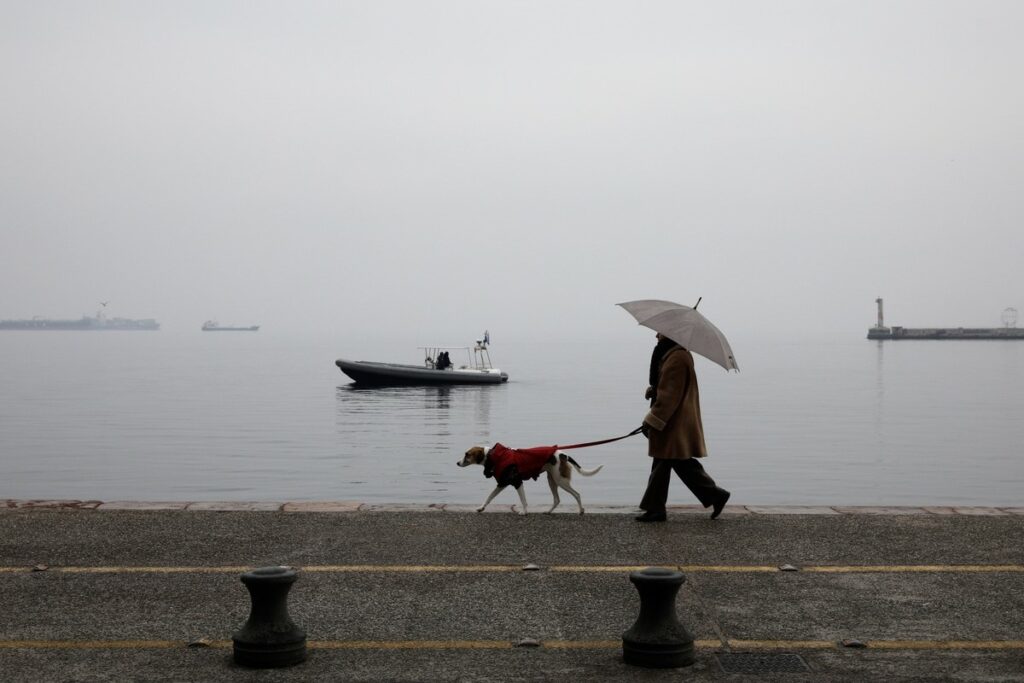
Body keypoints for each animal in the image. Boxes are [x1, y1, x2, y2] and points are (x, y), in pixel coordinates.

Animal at [454, 446, 598, 516]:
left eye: (467, 454)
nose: (457, 463)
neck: (494, 456)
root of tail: (563, 455)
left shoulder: (517, 482)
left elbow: (523, 500)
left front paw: (524, 512)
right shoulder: (502, 483)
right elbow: (489, 497)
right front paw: (481, 508)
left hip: (560, 481)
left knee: (577, 494)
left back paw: (581, 511)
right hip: (552, 480)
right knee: (557, 499)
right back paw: (549, 511)